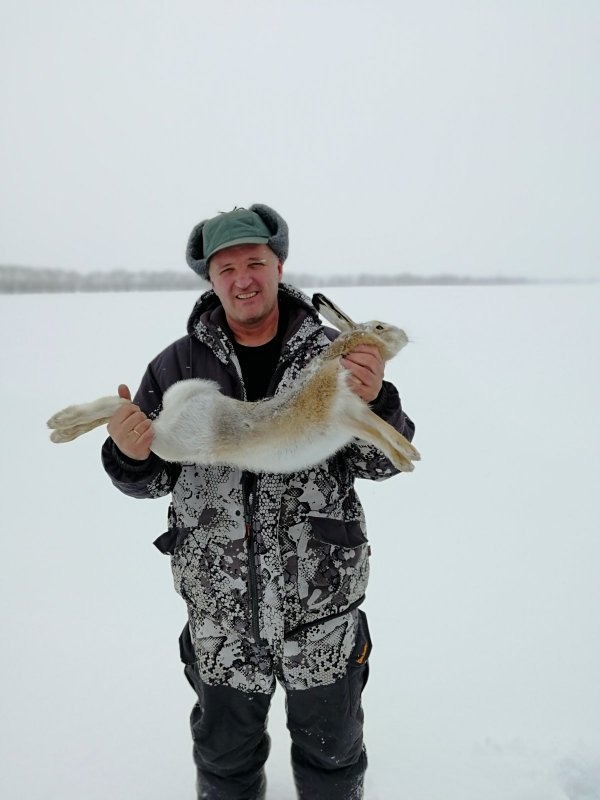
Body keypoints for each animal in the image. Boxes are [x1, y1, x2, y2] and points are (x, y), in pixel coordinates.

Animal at [46, 293, 420, 474]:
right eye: (379, 327)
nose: (406, 335)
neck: (341, 355)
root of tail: (173, 409)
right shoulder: (343, 412)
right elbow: (377, 433)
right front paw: (407, 459)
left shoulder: (356, 411)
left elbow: (382, 430)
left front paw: (409, 455)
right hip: (167, 441)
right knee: (124, 408)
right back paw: (61, 422)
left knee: (128, 408)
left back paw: (61, 429)